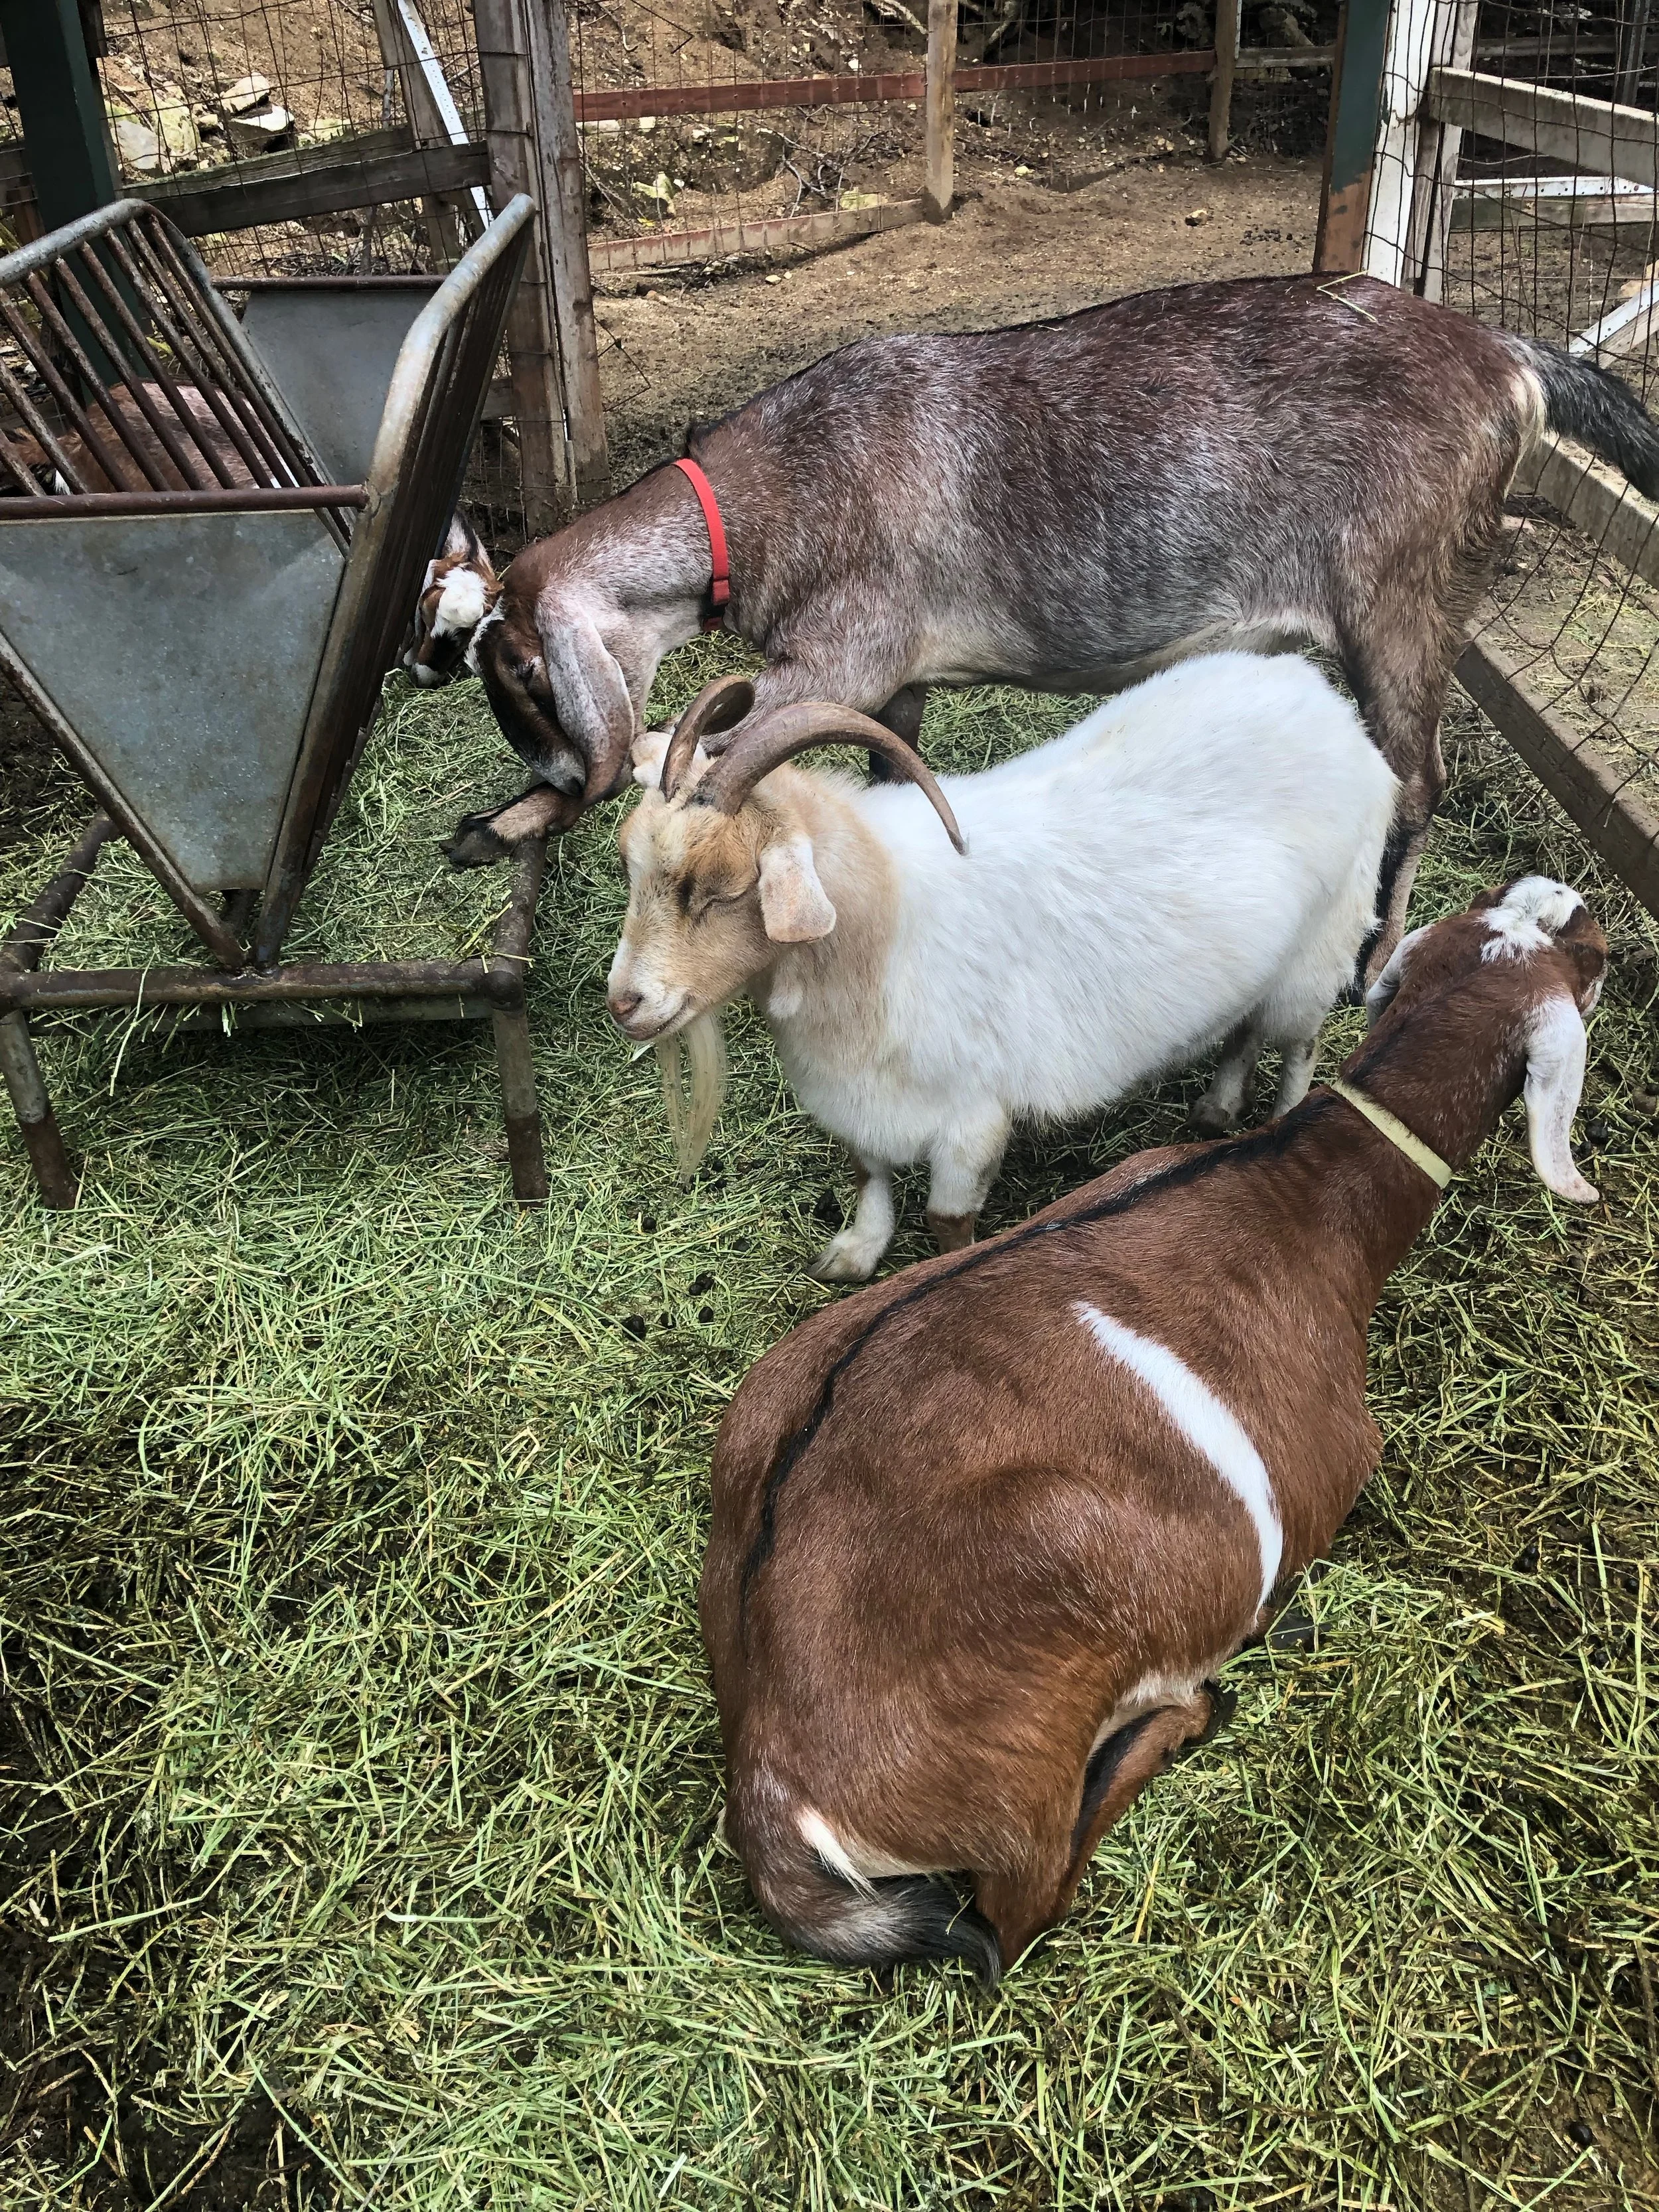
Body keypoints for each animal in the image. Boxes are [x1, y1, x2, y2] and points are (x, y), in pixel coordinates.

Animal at [434, 274, 1657, 968]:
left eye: (523, 676)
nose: (552, 773)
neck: (769, 490)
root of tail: (1507, 357)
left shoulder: (838, 658)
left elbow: (691, 755)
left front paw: (501, 825)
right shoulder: (897, 683)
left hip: (1400, 597)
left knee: (1417, 781)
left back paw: (1368, 961)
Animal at [606, 656, 1396, 1279]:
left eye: (724, 888)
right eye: (630, 864)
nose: (623, 1005)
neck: (884, 930)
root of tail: (1317, 692)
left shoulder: (970, 1123)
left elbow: (946, 1223)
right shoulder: (856, 1098)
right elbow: (869, 1176)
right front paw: (854, 1255)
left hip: (1320, 947)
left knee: (1297, 1042)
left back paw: (1281, 1118)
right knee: (1240, 1031)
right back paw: (1216, 1110)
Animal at [700, 876, 1608, 1984]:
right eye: (1591, 960)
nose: (1584, 909)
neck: (1308, 1204)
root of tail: (772, 1785)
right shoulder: (1331, 1471)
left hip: (769, 1398)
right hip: (1056, 1645)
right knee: (1018, 1915)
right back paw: (1189, 1709)